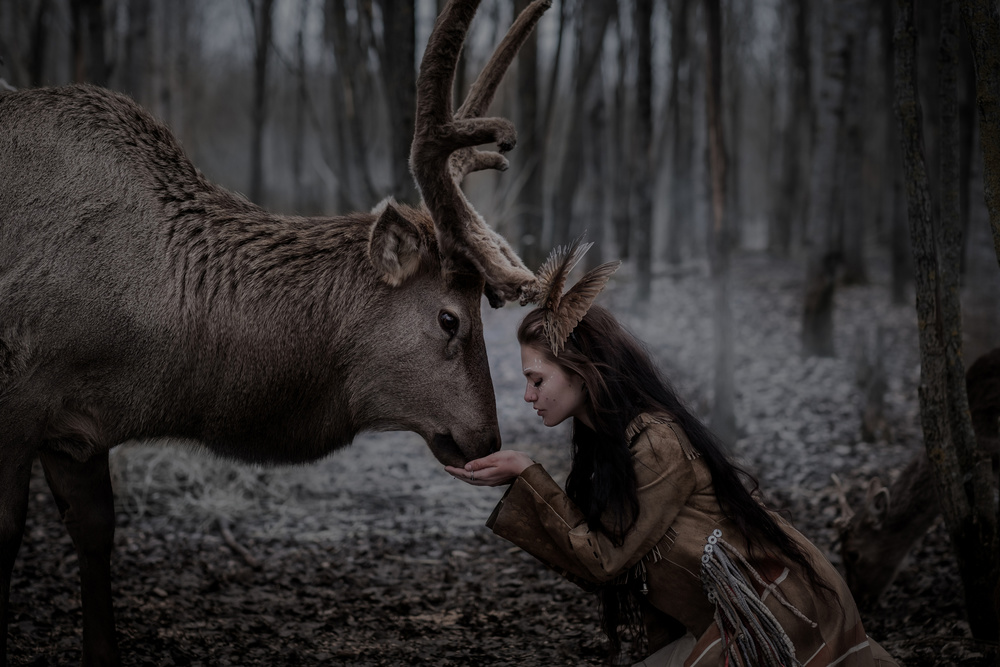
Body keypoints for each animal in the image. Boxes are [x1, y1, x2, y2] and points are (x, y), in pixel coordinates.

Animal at [0, 1, 553, 665]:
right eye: (450, 317)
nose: (487, 439)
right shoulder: (17, 403)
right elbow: (7, 535)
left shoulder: (74, 429)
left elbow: (95, 533)